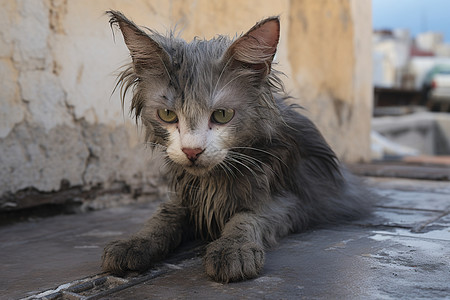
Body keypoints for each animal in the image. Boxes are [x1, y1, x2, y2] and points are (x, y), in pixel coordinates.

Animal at [102, 11, 372, 284]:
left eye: (222, 115)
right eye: (167, 115)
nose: (192, 152)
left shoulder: (292, 201)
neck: (213, 181)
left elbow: (247, 217)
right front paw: (135, 242)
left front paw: (233, 248)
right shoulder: (187, 197)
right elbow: (162, 217)